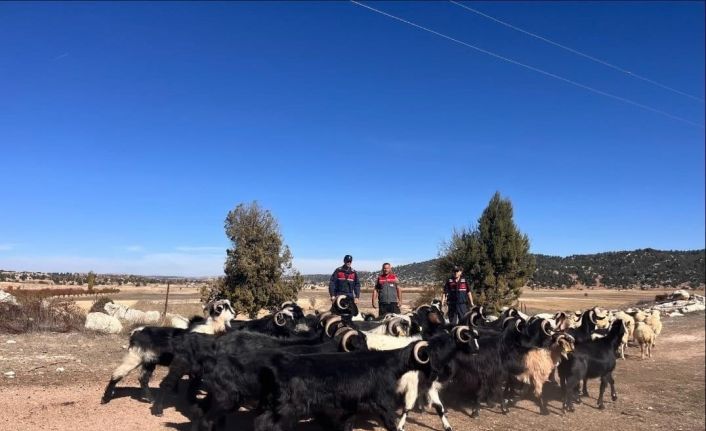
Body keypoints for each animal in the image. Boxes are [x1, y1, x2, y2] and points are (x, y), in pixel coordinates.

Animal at [100, 300, 235, 404]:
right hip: (134, 357)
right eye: (223, 307)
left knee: (143, 379)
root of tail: (135, 333)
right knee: (117, 374)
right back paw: (105, 399)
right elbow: (194, 383)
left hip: (149, 361)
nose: (234, 313)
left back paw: (151, 399)